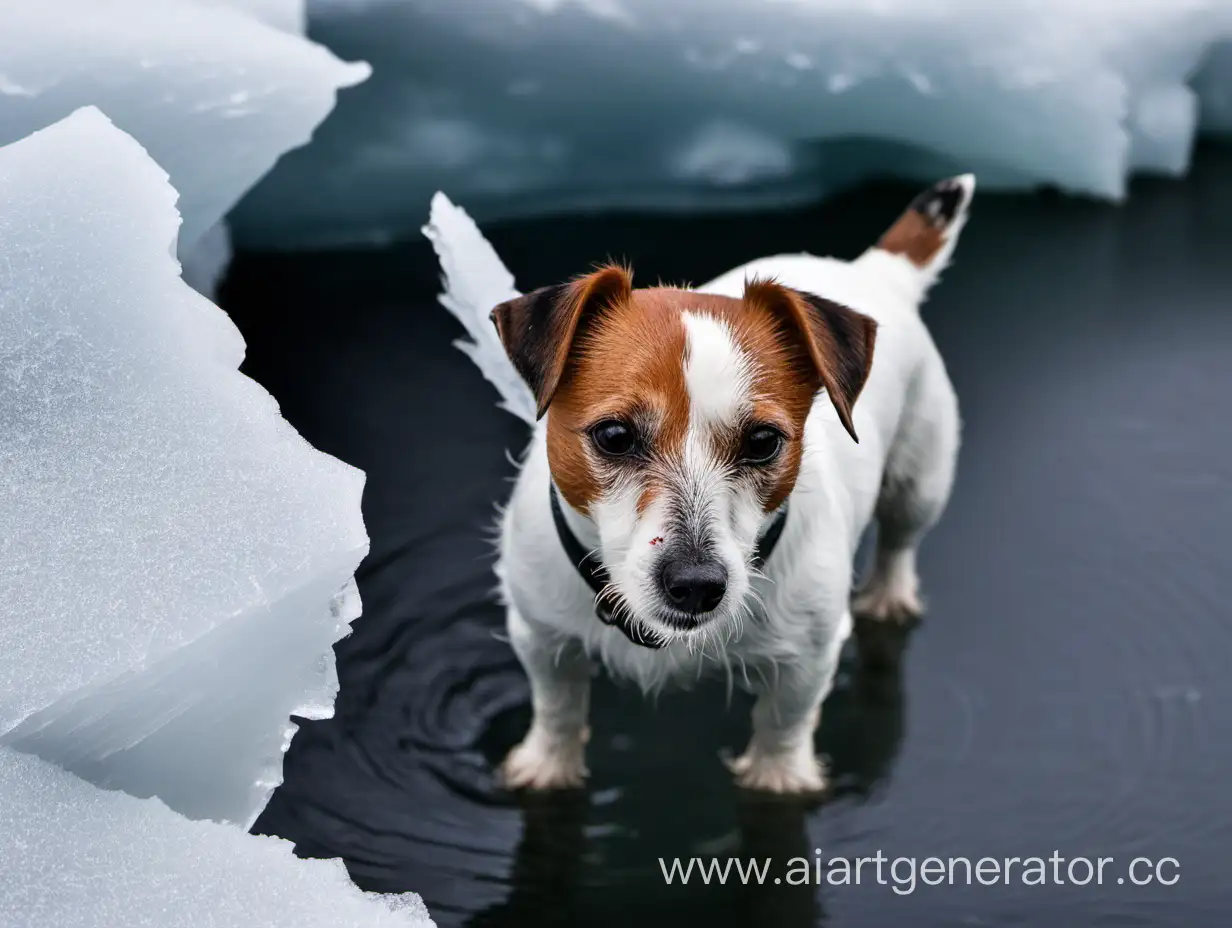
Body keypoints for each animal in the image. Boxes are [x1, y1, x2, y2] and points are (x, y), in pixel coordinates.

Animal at [478, 177, 970, 793]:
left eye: (762, 441)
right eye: (614, 435)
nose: (695, 585)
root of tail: (876, 271)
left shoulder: (805, 661)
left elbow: (785, 725)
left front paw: (778, 774)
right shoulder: (540, 634)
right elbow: (557, 706)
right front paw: (547, 763)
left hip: (920, 475)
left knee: (902, 536)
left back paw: (889, 593)